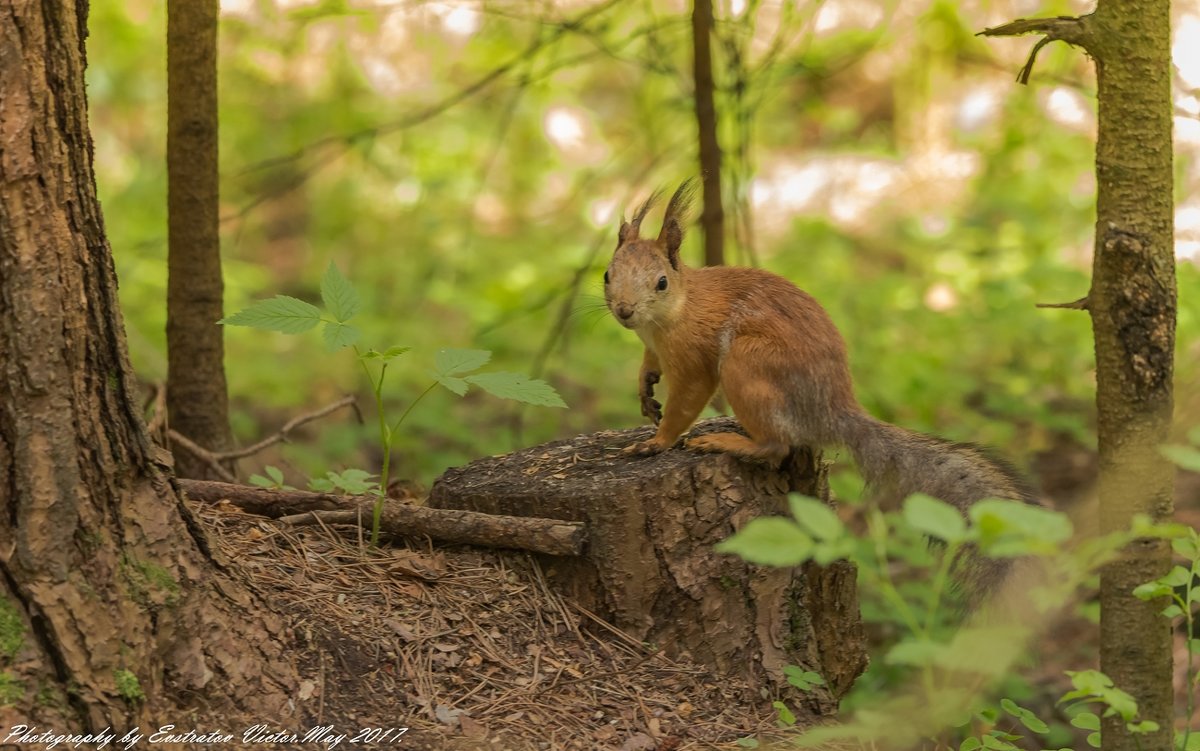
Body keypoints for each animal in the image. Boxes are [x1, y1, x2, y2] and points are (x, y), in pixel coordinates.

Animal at [604, 181, 1036, 520]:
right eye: (607, 274)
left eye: (661, 283)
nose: (624, 310)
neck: (671, 314)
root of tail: (830, 411)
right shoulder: (653, 346)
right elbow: (649, 366)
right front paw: (645, 390)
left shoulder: (693, 358)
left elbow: (686, 400)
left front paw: (657, 441)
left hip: (748, 364)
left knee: (777, 446)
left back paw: (729, 442)